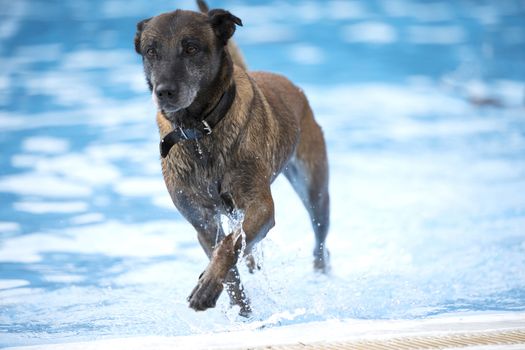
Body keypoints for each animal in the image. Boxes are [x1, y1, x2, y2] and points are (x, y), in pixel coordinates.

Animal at [134, 0, 328, 318]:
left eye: (191, 48)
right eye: (151, 51)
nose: (163, 92)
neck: (199, 132)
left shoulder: (260, 206)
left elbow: (230, 244)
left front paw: (209, 283)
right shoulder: (202, 222)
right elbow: (228, 262)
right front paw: (239, 306)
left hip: (315, 189)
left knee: (320, 236)